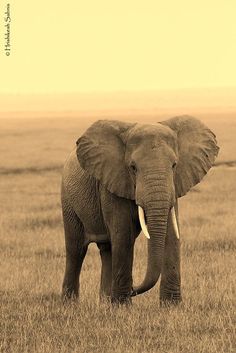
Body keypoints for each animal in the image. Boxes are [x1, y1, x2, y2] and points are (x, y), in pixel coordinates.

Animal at [61, 115, 219, 302]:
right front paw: (122, 305)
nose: (133, 288)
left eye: (174, 165)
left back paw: (105, 302)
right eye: (133, 168)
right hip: (67, 200)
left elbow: (171, 235)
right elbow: (123, 235)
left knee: (107, 250)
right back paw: (71, 304)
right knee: (76, 250)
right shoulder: (114, 182)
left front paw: (171, 305)